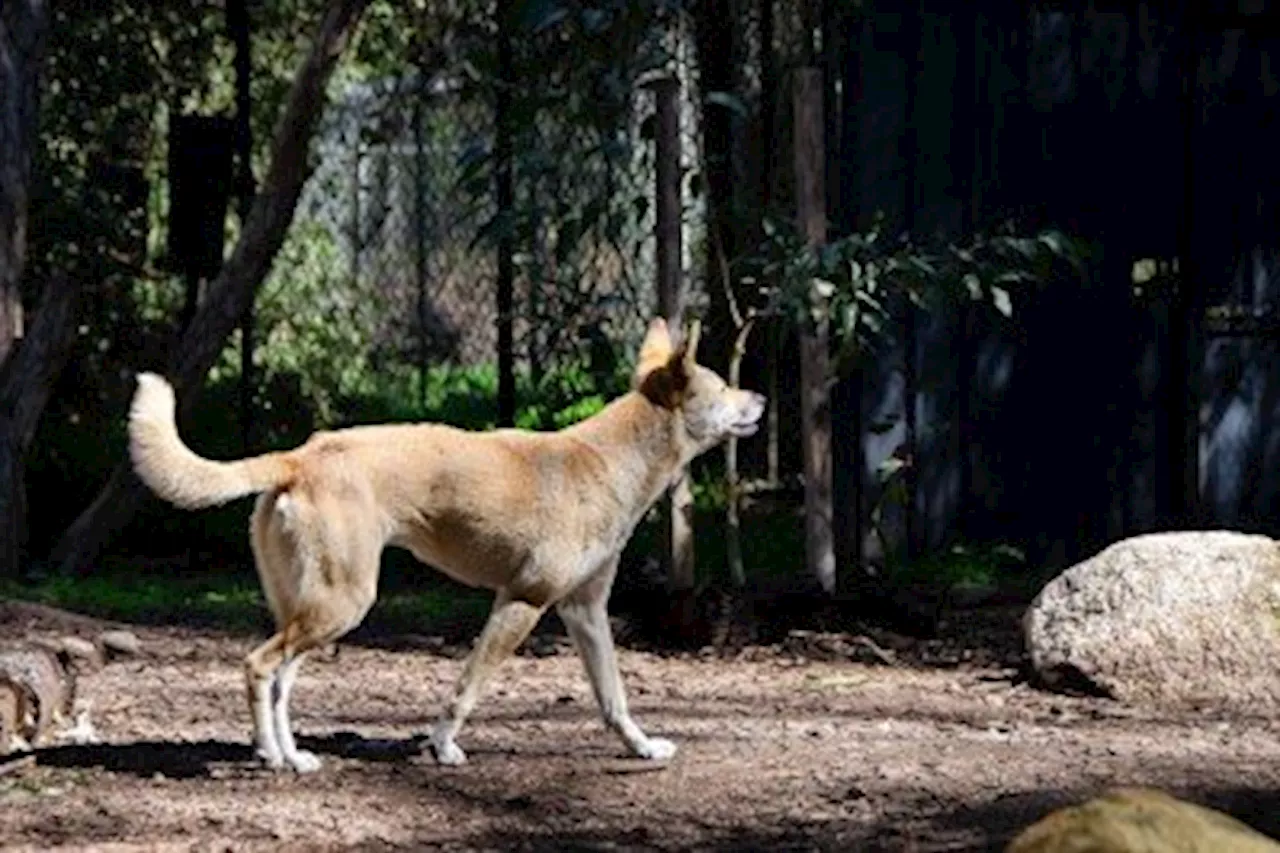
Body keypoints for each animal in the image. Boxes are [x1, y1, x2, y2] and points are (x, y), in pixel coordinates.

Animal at [124, 318, 762, 768]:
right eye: (722, 386)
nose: (758, 397)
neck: (610, 460)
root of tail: (303, 455)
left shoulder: (585, 611)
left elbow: (614, 697)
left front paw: (642, 747)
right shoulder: (521, 602)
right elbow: (468, 687)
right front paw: (444, 746)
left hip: (313, 609)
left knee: (281, 681)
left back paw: (291, 755)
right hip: (341, 604)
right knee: (259, 667)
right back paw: (275, 758)